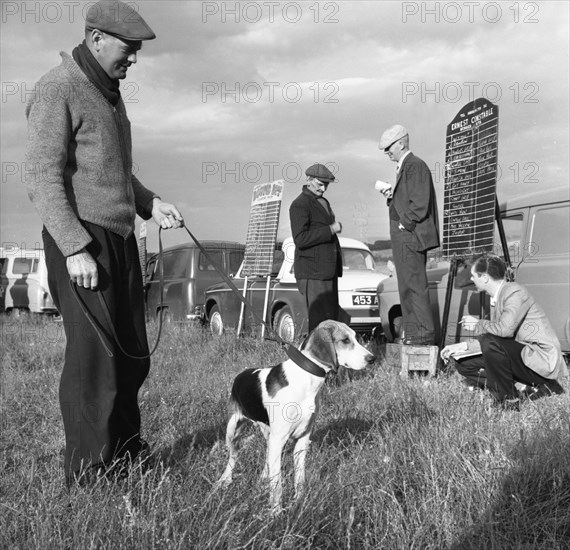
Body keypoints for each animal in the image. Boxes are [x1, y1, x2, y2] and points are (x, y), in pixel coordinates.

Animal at [213, 322, 372, 516]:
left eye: (355, 337)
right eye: (345, 340)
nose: (372, 358)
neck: (306, 379)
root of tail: (241, 374)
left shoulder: (302, 439)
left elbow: (300, 477)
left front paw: (299, 502)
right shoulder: (279, 439)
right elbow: (278, 484)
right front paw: (276, 513)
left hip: (268, 434)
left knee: (266, 457)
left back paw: (262, 478)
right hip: (232, 430)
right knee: (233, 456)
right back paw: (225, 480)